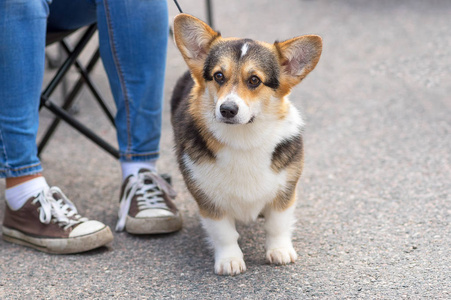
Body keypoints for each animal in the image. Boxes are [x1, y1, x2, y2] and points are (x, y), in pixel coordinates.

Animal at [171, 14, 324, 276]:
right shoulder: (208, 199)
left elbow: (277, 224)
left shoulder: (285, 190)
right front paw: (230, 261)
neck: (243, 139)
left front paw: (279, 251)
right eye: (218, 76)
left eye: (254, 80)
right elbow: (224, 233)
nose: (227, 109)